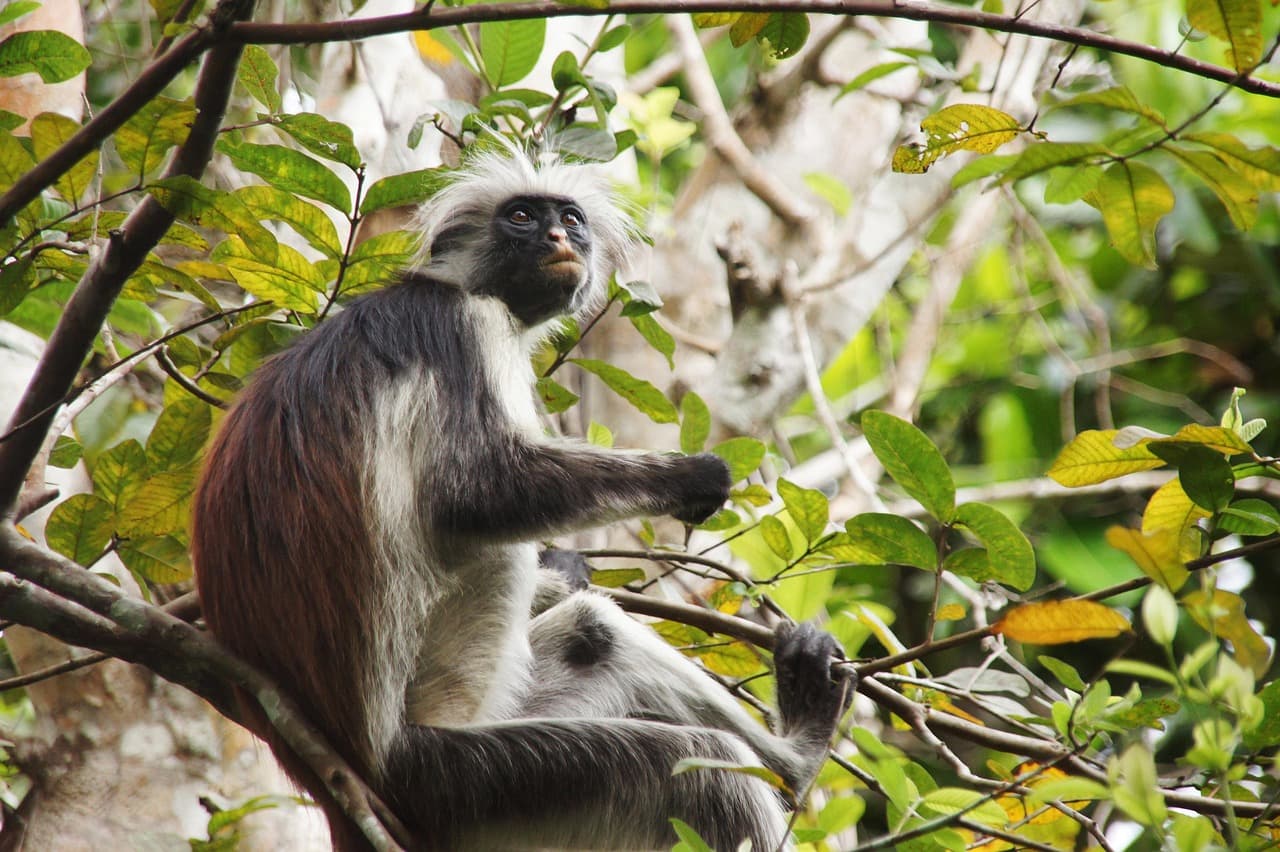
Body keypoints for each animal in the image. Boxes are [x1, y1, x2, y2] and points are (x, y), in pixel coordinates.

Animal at [191, 147, 849, 851]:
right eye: (523, 218)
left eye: (570, 219)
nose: (560, 238)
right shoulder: (464, 327)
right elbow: (477, 494)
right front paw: (691, 478)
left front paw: (565, 568)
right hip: (458, 772)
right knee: (703, 765)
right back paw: (795, 760)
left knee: (594, 634)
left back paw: (793, 758)